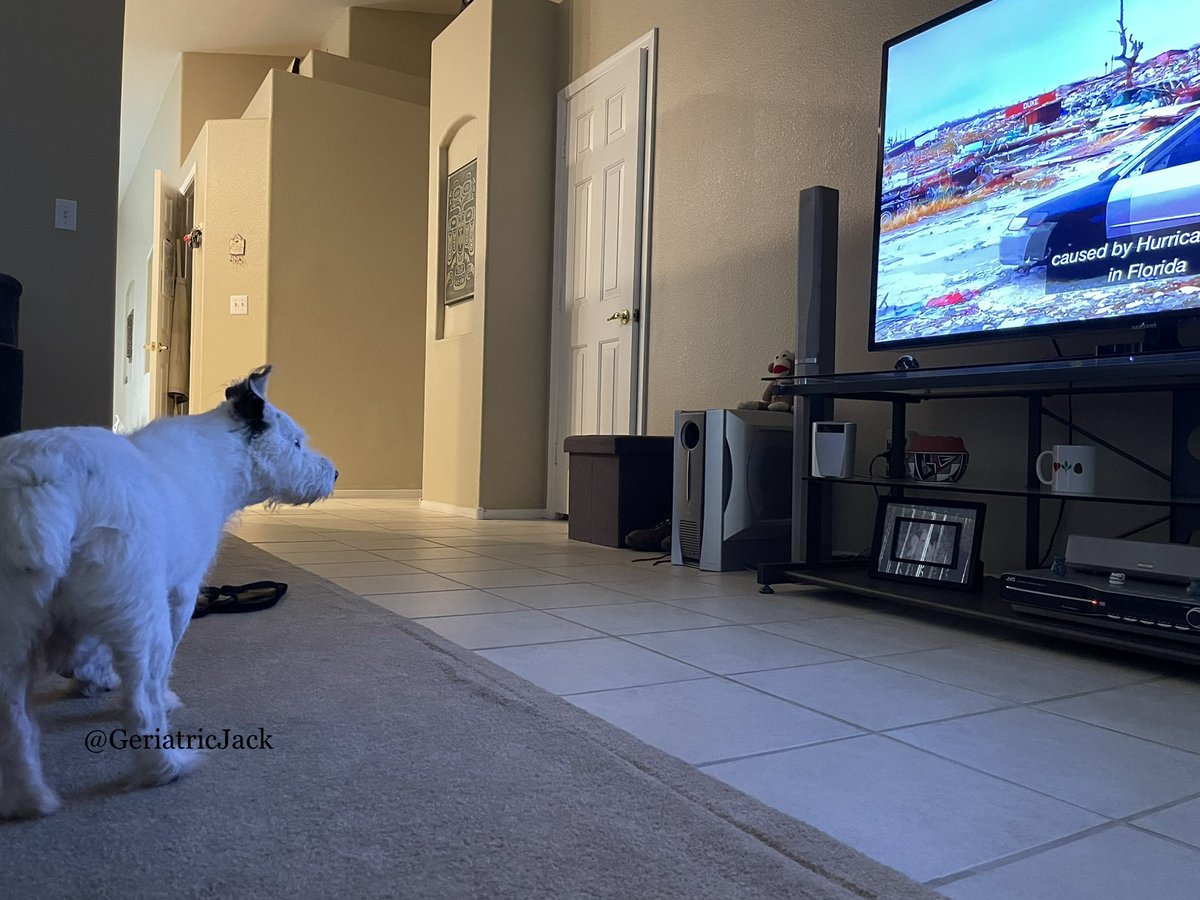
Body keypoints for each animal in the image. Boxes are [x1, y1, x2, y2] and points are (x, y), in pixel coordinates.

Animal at [0, 364, 338, 816]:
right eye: (297, 443)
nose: (334, 473)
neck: (219, 454)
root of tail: (41, 481)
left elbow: (86, 648)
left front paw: (89, 677)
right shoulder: (181, 592)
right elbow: (159, 670)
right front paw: (155, 694)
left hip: (11, 635)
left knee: (14, 723)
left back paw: (30, 800)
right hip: (147, 620)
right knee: (141, 703)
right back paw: (165, 766)